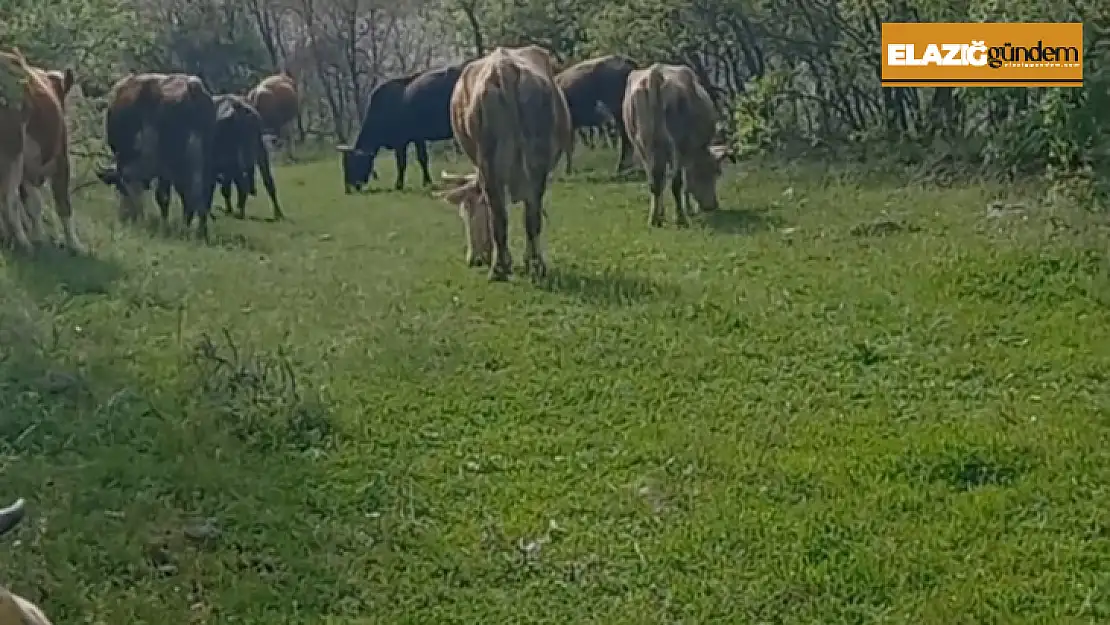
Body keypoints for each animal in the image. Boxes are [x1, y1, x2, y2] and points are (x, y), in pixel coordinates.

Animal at [0, 48, 81, 254]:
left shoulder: (28, 172)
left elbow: (34, 204)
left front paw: (39, 237)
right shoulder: (61, 159)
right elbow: (62, 202)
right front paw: (75, 245)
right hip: (12, 150)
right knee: (9, 198)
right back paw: (24, 244)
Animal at [95, 72, 218, 240]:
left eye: (120, 187)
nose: (125, 217)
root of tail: (192, 88)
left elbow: (161, 196)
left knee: (185, 195)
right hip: (203, 160)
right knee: (200, 194)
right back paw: (199, 233)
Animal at [333, 62, 463, 193]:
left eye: (352, 164)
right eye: (344, 164)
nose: (347, 188)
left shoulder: (400, 142)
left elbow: (402, 163)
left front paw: (399, 184)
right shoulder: (418, 138)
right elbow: (422, 159)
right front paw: (426, 182)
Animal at [432, 47, 572, 284]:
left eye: (467, 214)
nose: (474, 260)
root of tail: (503, 68)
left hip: (492, 166)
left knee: (502, 215)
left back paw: (504, 267)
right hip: (532, 165)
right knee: (528, 217)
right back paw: (530, 265)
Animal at [621, 62, 732, 228]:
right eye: (716, 172)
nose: (712, 206)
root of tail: (656, 73)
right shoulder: (687, 153)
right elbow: (685, 182)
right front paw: (690, 210)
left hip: (643, 146)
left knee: (655, 181)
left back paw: (655, 219)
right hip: (677, 147)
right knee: (675, 183)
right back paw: (681, 218)